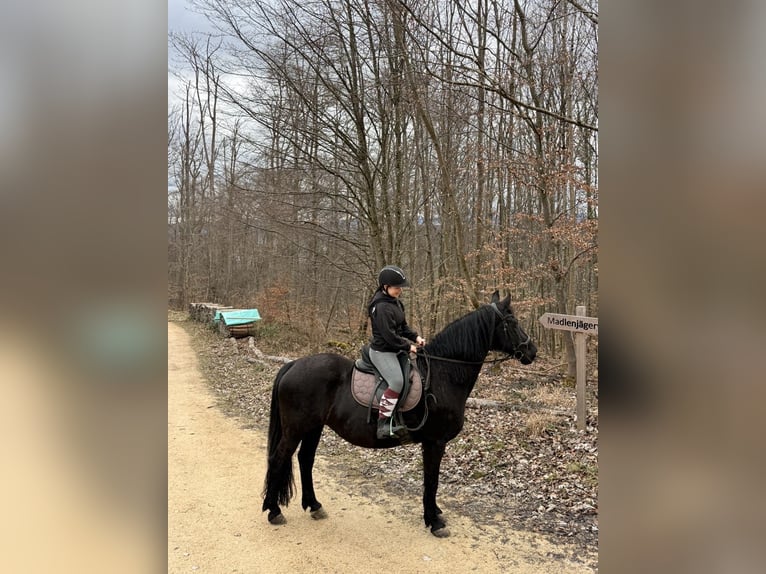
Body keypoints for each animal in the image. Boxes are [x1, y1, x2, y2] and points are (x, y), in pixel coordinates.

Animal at [261, 290, 537, 537]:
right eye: (512, 322)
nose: (532, 351)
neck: (444, 373)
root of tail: (293, 364)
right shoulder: (435, 442)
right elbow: (432, 481)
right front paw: (433, 522)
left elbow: (430, 481)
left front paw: (435, 514)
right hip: (296, 428)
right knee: (278, 458)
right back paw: (274, 511)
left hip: (314, 427)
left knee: (305, 459)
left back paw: (314, 506)